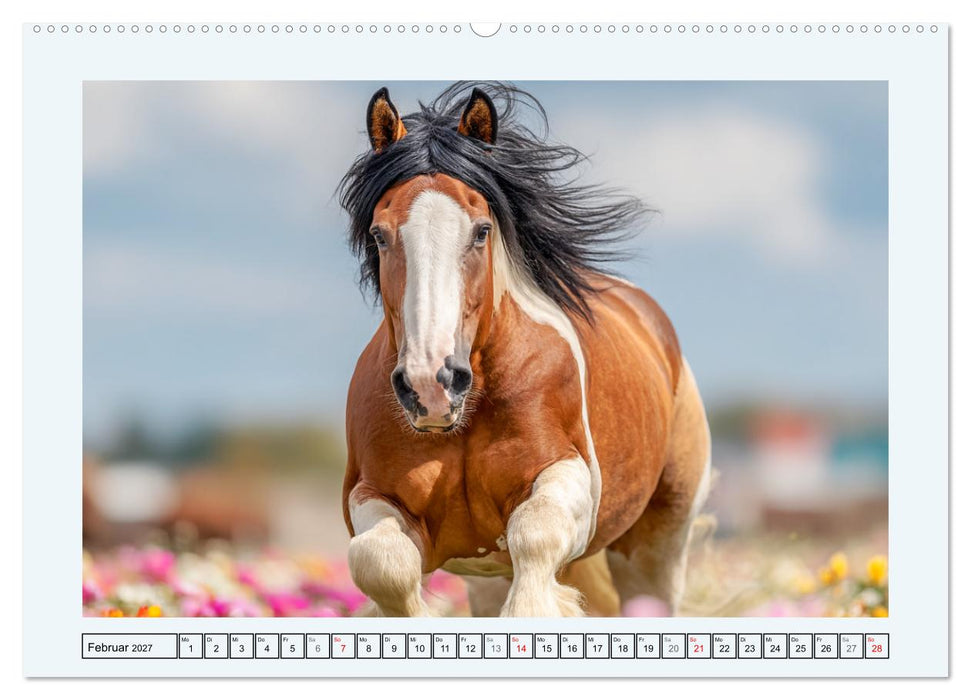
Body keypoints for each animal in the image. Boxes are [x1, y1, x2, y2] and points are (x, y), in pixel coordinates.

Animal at [338, 83, 712, 617]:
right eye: (379, 234)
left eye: (481, 230)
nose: (432, 387)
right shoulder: (370, 496)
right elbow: (380, 562)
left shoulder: (568, 479)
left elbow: (535, 537)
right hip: (487, 577)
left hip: (657, 541)